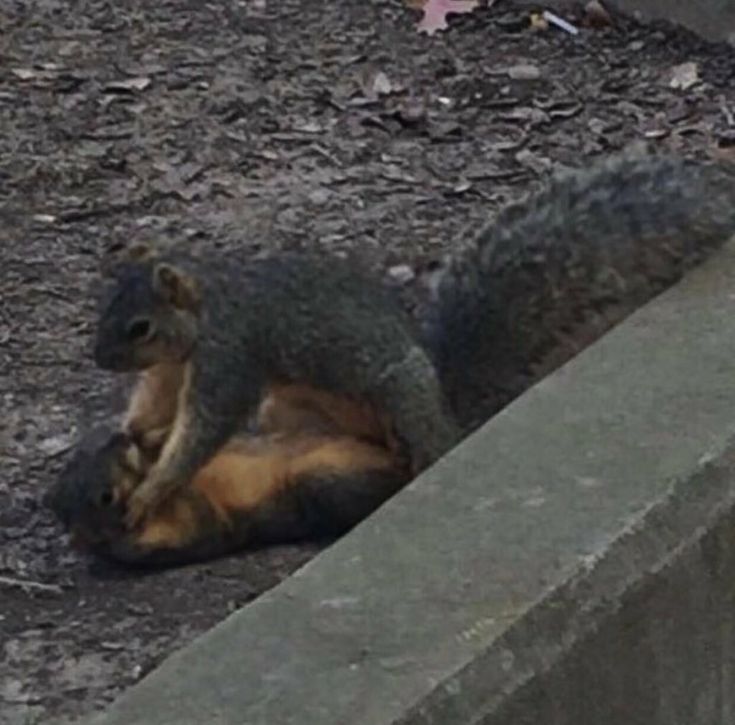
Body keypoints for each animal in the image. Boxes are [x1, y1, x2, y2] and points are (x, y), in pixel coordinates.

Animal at [80, 151, 735, 536]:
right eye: (106, 305)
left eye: (139, 327)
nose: (98, 358)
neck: (206, 304)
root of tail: (451, 412)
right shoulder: (179, 365)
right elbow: (160, 400)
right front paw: (134, 431)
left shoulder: (230, 354)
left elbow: (203, 429)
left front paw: (153, 488)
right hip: (292, 407)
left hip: (400, 399)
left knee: (424, 447)